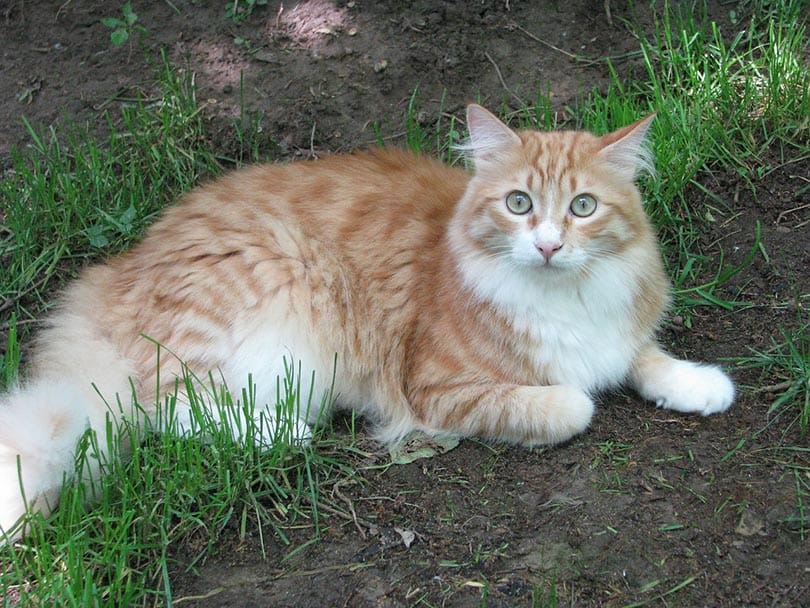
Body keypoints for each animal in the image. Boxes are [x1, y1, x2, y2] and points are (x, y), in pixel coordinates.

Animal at [0, 104, 732, 540]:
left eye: (582, 207)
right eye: (520, 203)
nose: (549, 245)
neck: (563, 295)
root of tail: (121, 266)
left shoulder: (618, 331)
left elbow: (645, 356)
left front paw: (700, 385)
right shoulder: (437, 388)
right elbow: (573, 403)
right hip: (275, 321)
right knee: (172, 410)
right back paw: (285, 431)